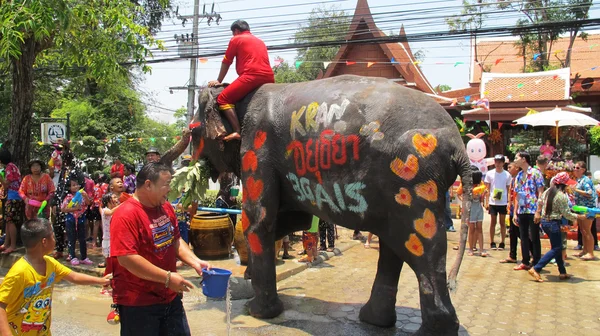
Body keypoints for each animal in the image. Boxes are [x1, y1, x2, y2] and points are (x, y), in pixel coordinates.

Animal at [192, 75, 474, 334]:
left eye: (193, 132)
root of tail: (458, 147)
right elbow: (290, 220)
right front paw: (249, 275)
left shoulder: (257, 150)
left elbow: (257, 222)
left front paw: (257, 311)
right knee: (394, 246)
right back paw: (374, 320)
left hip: (414, 178)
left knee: (423, 250)